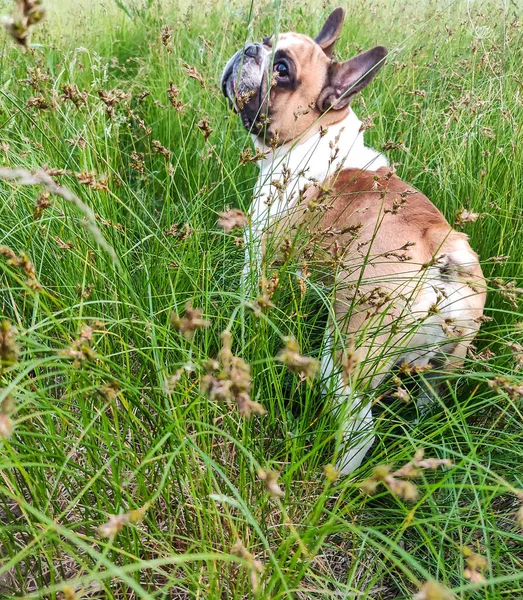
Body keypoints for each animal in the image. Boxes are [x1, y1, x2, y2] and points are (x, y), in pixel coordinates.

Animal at [221, 5, 488, 474]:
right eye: (268, 41)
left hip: (346, 353)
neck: (316, 136)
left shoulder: (260, 255)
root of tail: (445, 251)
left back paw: (336, 477)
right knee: (430, 400)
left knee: (362, 427)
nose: (251, 48)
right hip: (444, 368)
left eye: (282, 70)